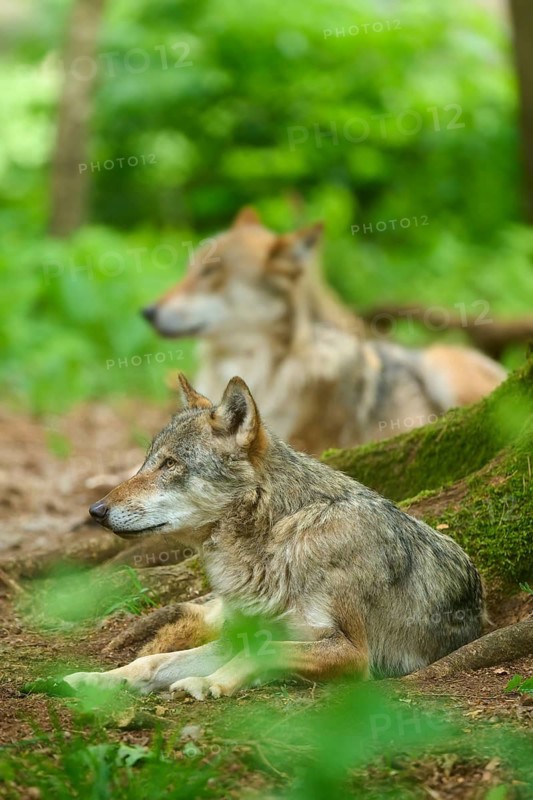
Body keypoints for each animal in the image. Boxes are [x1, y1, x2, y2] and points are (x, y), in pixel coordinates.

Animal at [64, 374, 484, 699]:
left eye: (170, 464)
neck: (276, 544)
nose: (96, 511)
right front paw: (96, 680)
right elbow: (153, 661)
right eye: (146, 462)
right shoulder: (246, 634)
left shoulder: (352, 652)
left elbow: (262, 652)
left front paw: (207, 682)